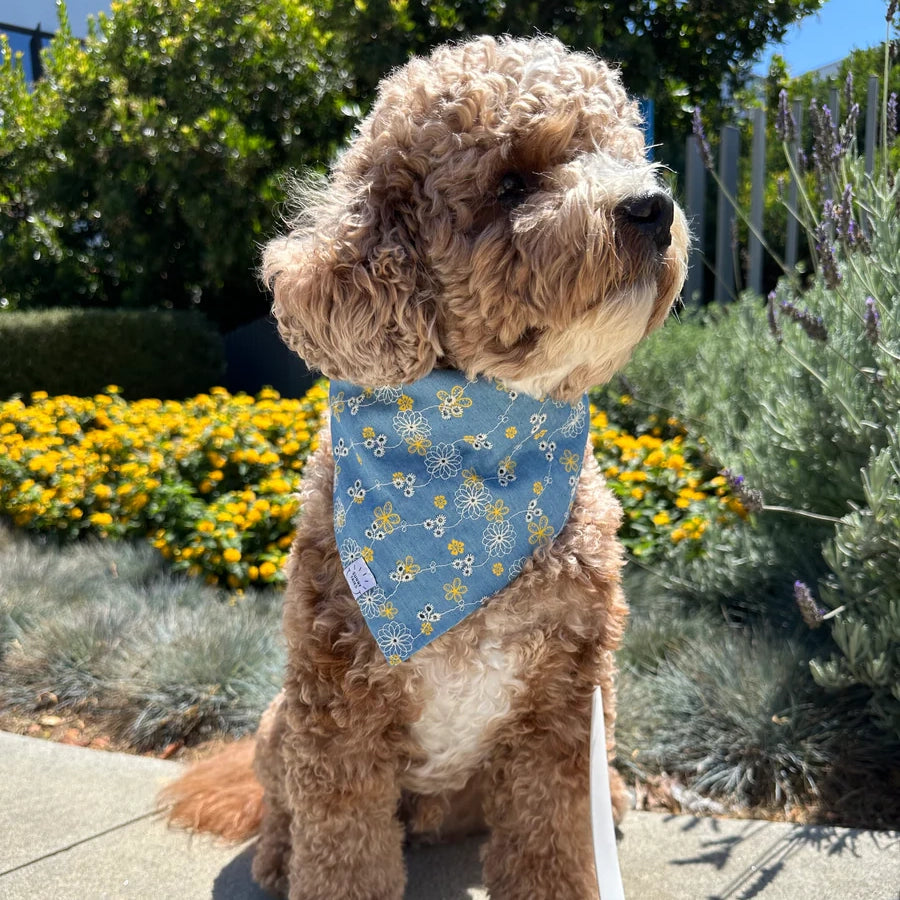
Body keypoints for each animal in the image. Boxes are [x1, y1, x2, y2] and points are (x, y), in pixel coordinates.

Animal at [160, 35, 688, 900]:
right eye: (511, 182)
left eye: (620, 153)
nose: (653, 206)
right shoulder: (336, 709)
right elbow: (341, 849)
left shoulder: (564, 704)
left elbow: (551, 840)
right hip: (280, 722)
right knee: (282, 806)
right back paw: (274, 857)